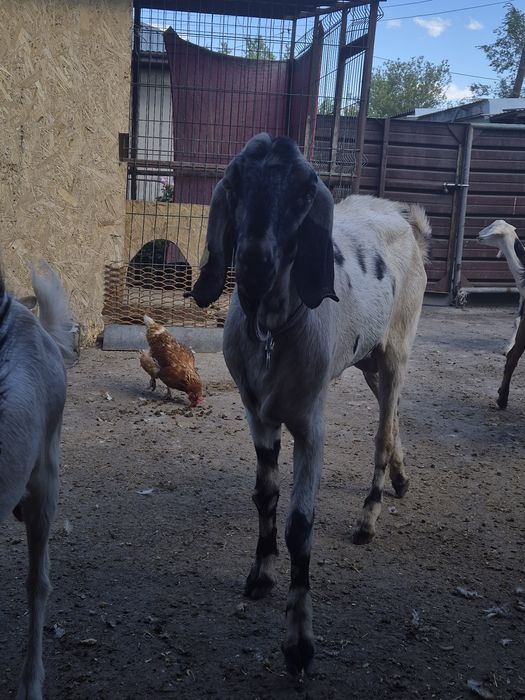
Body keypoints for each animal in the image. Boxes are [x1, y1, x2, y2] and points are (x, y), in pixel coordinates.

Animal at [187, 133, 430, 675]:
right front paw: (260, 574)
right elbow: (265, 496)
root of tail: (404, 215)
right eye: (235, 181)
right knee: (393, 415)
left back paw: (369, 515)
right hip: (368, 358)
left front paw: (299, 639)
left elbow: (300, 526)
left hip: (399, 347)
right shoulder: (257, 414)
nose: (253, 262)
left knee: (383, 431)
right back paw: (401, 478)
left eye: (303, 192)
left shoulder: (310, 424)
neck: (273, 332)